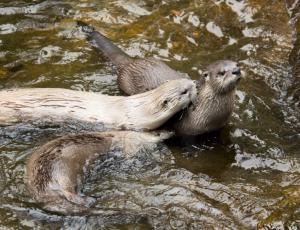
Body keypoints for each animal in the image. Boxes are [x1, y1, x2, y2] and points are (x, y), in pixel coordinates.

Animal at [25, 130, 173, 215]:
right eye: (157, 133)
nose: (170, 131)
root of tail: (45, 186)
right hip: (63, 170)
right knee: (71, 193)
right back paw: (90, 200)